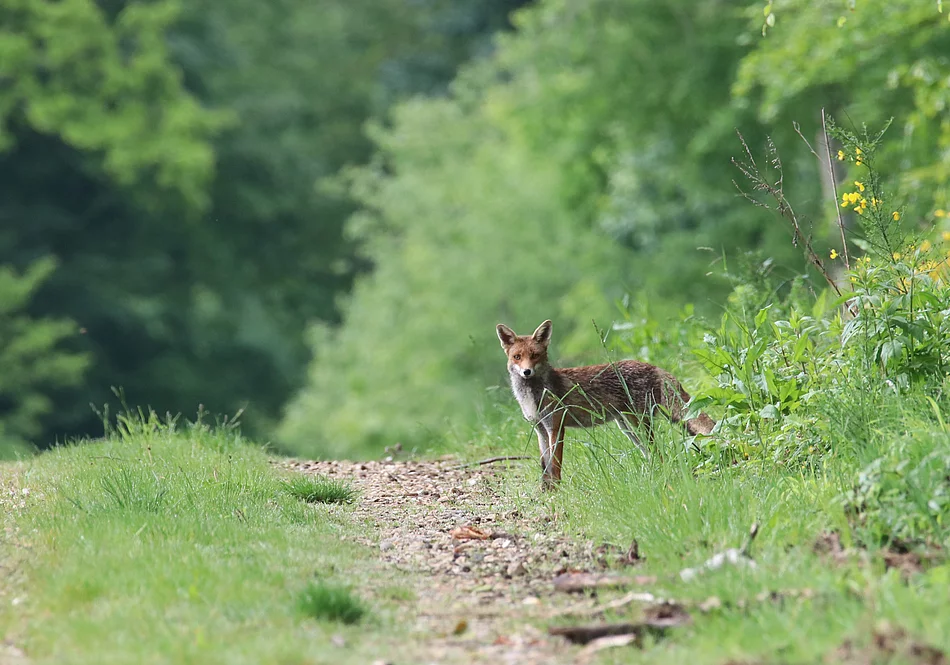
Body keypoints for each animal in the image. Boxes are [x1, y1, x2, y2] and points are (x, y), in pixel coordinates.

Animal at [496, 319, 716, 488]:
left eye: (535, 356)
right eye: (517, 357)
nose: (527, 372)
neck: (533, 396)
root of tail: (654, 366)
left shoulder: (556, 427)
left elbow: (555, 466)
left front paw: (557, 492)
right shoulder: (540, 429)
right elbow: (545, 467)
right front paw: (545, 491)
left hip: (638, 424)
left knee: (659, 453)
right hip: (628, 428)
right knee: (653, 454)